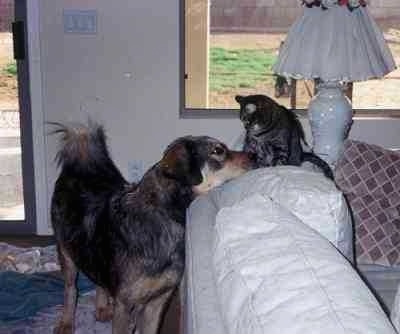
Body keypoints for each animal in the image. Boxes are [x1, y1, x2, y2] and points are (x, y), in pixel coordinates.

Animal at [49, 122, 250, 334]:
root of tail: (80, 168)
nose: (254, 155)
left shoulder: (157, 302)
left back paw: (102, 308)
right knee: (71, 289)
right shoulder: (125, 306)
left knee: (98, 279)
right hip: (67, 253)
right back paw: (66, 322)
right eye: (218, 150)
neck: (165, 217)